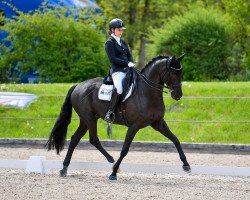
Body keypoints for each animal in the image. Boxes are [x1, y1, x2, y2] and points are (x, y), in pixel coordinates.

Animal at [47, 54, 190, 180]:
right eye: (173, 73)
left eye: (181, 73)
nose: (178, 95)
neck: (147, 93)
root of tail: (77, 86)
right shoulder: (134, 126)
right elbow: (124, 150)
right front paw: (113, 173)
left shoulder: (158, 123)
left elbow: (175, 139)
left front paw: (186, 165)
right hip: (89, 118)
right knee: (93, 139)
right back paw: (111, 159)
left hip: (86, 120)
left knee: (75, 139)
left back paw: (64, 169)